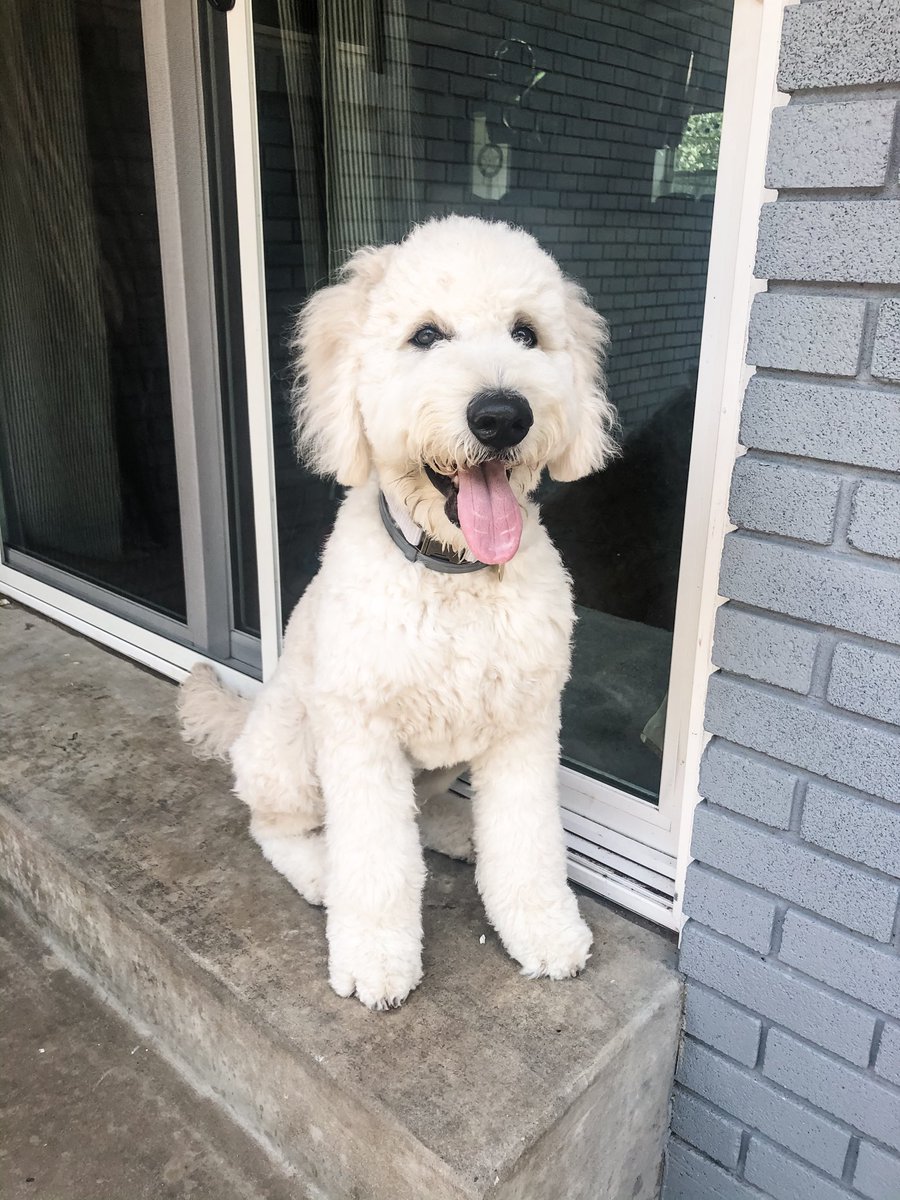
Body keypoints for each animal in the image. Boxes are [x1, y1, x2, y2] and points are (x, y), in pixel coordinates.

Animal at [183, 218, 619, 1012]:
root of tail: (245, 723)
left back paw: (452, 829)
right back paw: (320, 871)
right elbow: (377, 862)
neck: (451, 575)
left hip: (443, 760)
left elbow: (529, 843)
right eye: (426, 336)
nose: (502, 416)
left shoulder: (525, 724)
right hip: (293, 754)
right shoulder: (361, 735)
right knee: (274, 826)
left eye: (526, 333)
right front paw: (377, 958)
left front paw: (542, 930)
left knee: (424, 807)